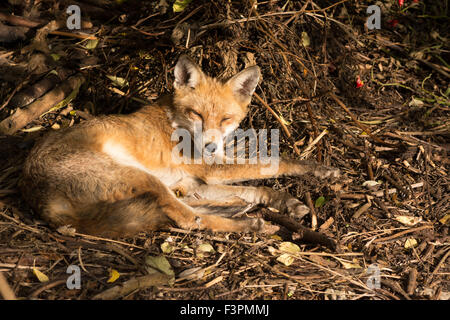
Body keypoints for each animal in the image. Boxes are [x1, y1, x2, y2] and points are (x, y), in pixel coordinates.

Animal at [19, 55, 340, 238]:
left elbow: (256, 186)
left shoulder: (194, 178)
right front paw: (315, 169)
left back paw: (238, 210)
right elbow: (274, 163)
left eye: (225, 119)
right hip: (142, 177)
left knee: (190, 206)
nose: (209, 147)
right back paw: (249, 225)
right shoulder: (206, 170)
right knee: (190, 220)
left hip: (160, 185)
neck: (176, 121)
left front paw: (285, 201)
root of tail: (34, 191)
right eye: (197, 114)